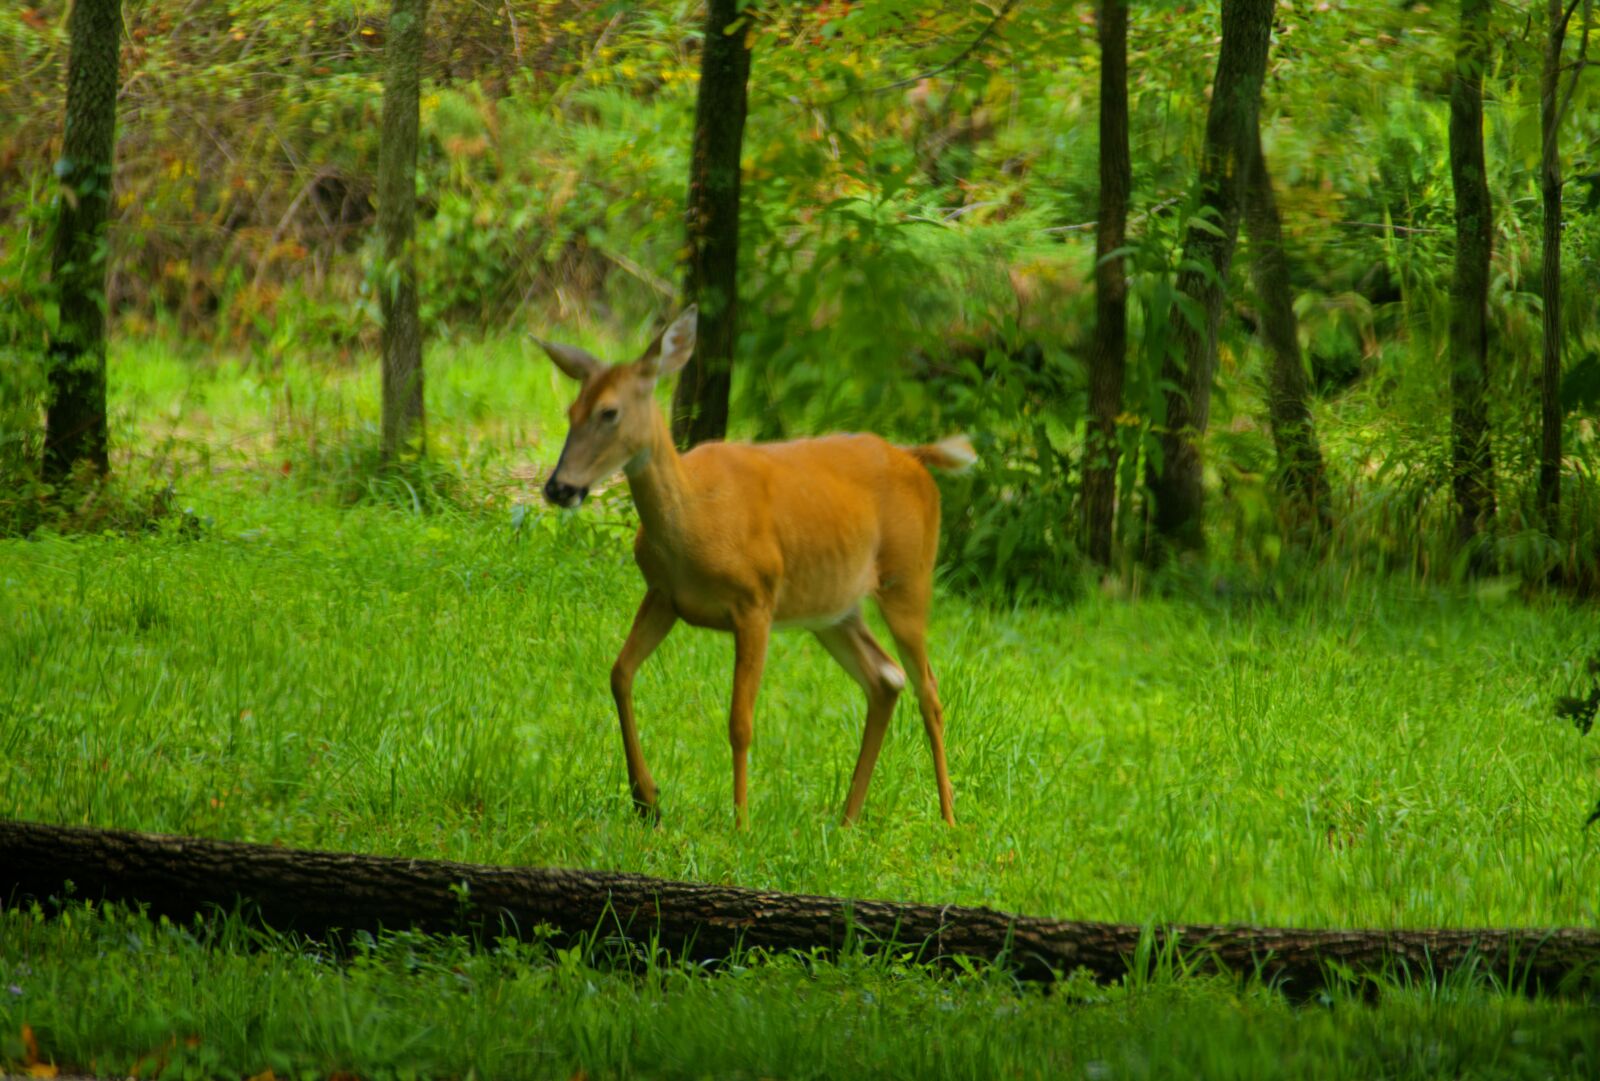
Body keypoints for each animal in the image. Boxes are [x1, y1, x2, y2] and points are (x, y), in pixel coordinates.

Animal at [534, 306, 973, 828]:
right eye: (570, 413)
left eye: (609, 412)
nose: (559, 488)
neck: (694, 520)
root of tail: (914, 456)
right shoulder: (664, 594)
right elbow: (619, 673)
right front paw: (647, 798)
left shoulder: (755, 600)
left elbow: (739, 721)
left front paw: (741, 821)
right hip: (833, 609)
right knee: (885, 678)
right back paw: (847, 819)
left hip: (908, 576)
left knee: (929, 689)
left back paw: (948, 817)